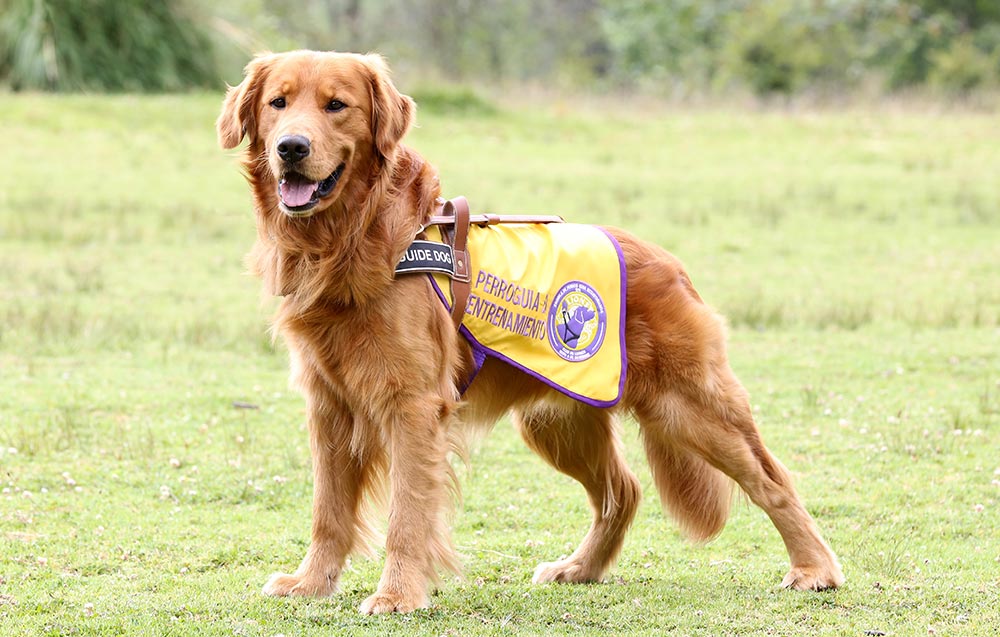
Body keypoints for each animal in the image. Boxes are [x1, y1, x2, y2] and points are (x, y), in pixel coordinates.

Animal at [217, 52, 844, 612]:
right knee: (623, 492)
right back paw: (581, 568)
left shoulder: (412, 406)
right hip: (558, 421)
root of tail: (668, 262)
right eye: (278, 103)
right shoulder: (329, 405)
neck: (352, 237)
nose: (291, 148)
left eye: (336, 106)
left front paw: (397, 594)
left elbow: (407, 514)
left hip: (690, 408)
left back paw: (814, 569)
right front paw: (311, 583)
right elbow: (328, 511)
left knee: (772, 481)